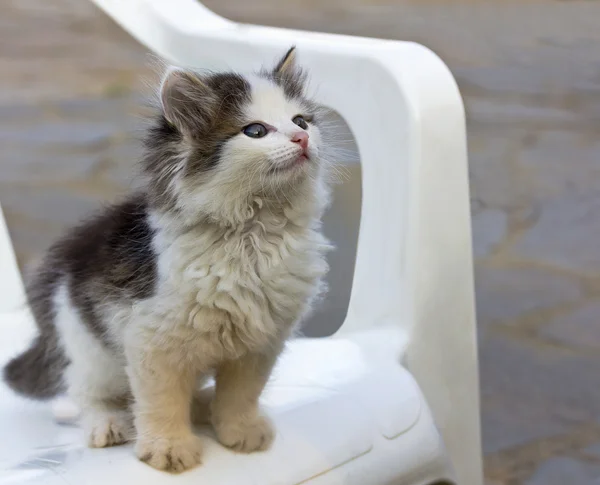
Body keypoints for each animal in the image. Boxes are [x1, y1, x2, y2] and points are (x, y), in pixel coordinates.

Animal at [4, 49, 330, 472]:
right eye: (255, 131)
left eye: (301, 121)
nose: (302, 138)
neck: (253, 232)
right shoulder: (152, 339)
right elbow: (162, 402)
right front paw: (168, 448)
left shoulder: (260, 342)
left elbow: (241, 394)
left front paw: (239, 430)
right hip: (90, 348)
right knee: (83, 396)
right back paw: (108, 424)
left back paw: (203, 405)